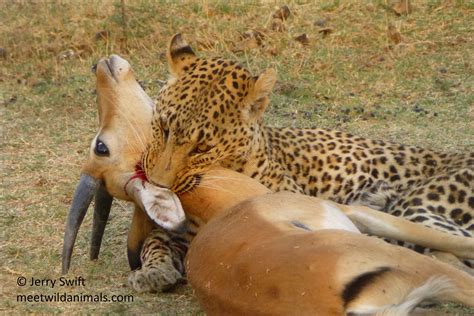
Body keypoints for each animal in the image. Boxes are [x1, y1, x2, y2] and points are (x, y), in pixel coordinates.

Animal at [128, 33, 472, 292]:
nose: (156, 185)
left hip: (416, 208)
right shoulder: (174, 230)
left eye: (202, 148)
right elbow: (153, 241)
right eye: (162, 127)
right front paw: (153, 271)